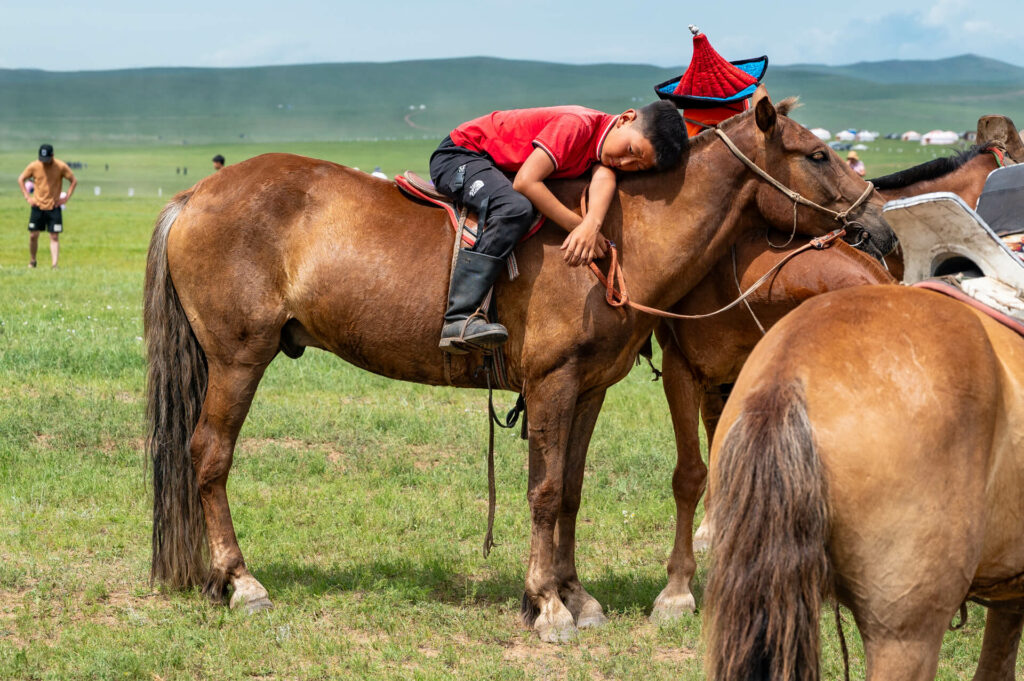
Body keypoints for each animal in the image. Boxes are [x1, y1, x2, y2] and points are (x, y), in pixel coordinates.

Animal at [140, 89, 892, 639]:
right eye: (818, 154)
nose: (880, 228)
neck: (620, 239)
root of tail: (195, 196)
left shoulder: (587, 388)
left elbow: (571, 488)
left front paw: (573, 594)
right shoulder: (553, 381)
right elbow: (547, 491)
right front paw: (547, 604)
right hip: (238, 358)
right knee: (209, 455)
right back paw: (241, 582)